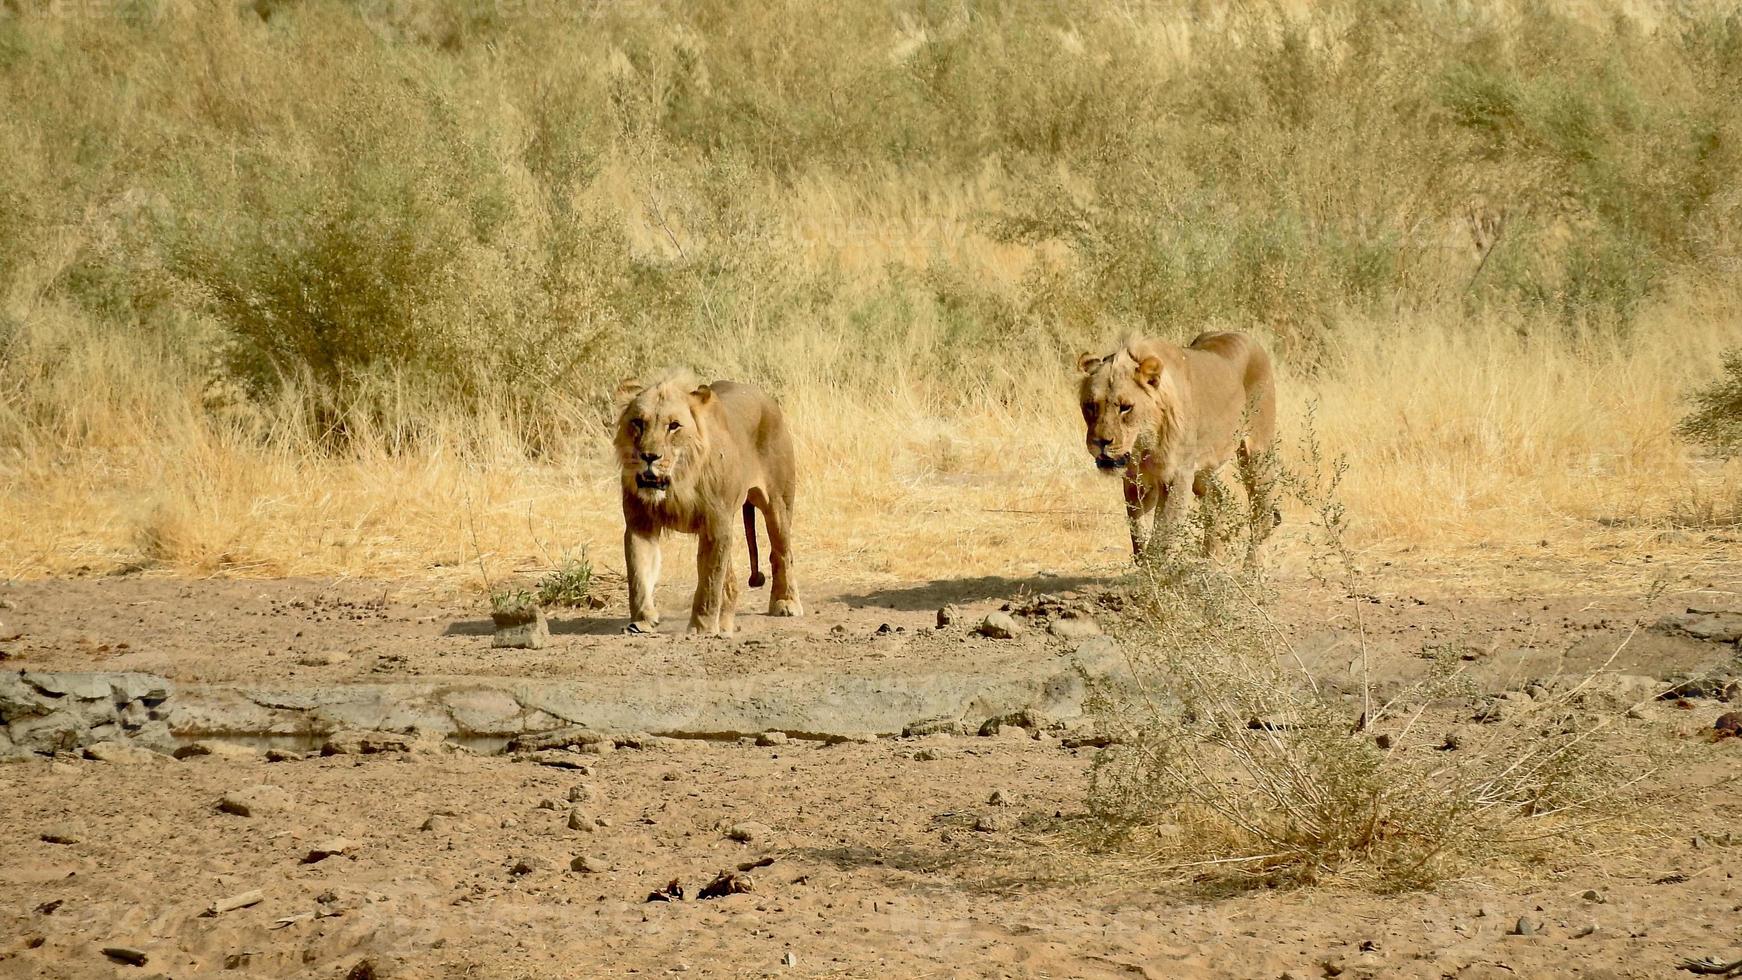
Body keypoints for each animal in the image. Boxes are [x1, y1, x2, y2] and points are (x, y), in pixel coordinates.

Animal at [613, 369, 801, 637]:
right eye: (638, 422)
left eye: (674, 426)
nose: (649, 456)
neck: (676, 483)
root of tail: (766, 398)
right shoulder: (640, 524)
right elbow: (639, 573)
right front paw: (642, 621)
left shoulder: (716, 525)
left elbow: (709, 582)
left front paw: (701, 628)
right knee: (731, 578)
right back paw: (726, 621)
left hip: (778, 504)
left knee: (781, 553)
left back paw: (786, 603)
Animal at [1073, 328, 1282, 563]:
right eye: (1091, 406)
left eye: (1126, 407)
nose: (1100, 442)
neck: (1142, 447)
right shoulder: (1136, 482)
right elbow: (1139, 536)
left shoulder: (1178, 475)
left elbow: (1162, 536)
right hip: (1205, 471)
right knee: (1217, 502)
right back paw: (1210, 562)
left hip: (1257, 452)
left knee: (1263, 511)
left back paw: (1252, 567)